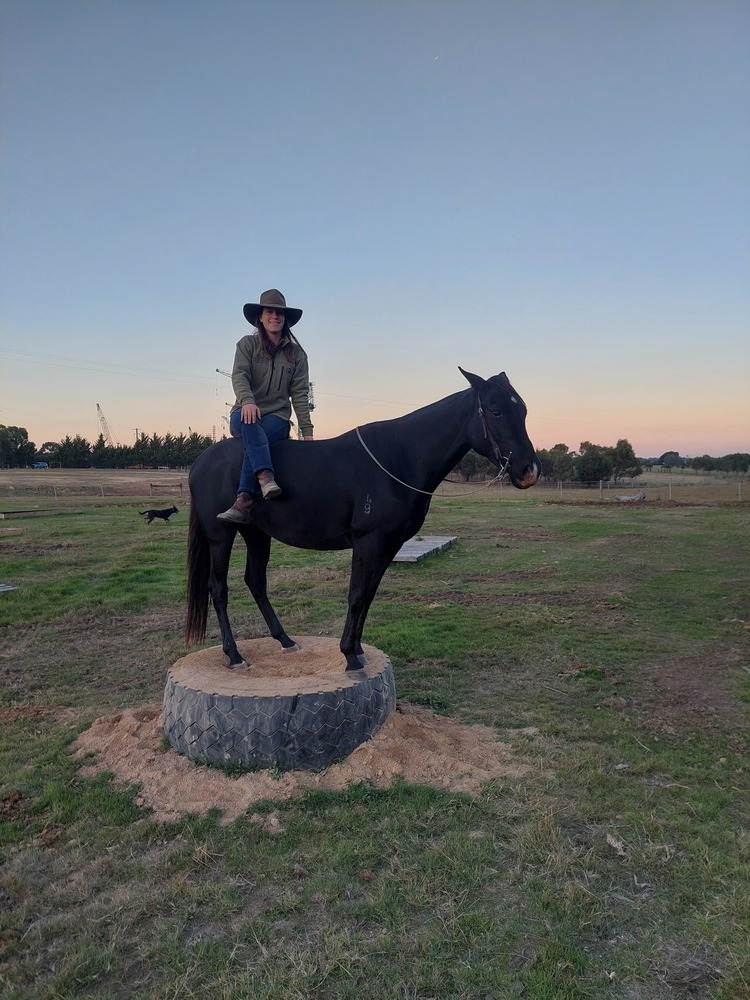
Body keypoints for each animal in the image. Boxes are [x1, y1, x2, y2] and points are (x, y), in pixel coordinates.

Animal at [185, 367, 539, 672]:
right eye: (495, 411)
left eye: (522, 410)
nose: (529, 470)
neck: (398, 458)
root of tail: (200, 461)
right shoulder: (368, 541)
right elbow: (356, 594)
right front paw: (349, 656)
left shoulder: (390, 544)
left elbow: (367, 595)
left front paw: (356, 649)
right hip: (221, 534)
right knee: (218, 588)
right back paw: (234, 655)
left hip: (257, 534)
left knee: (256, 582)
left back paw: (285, 641)